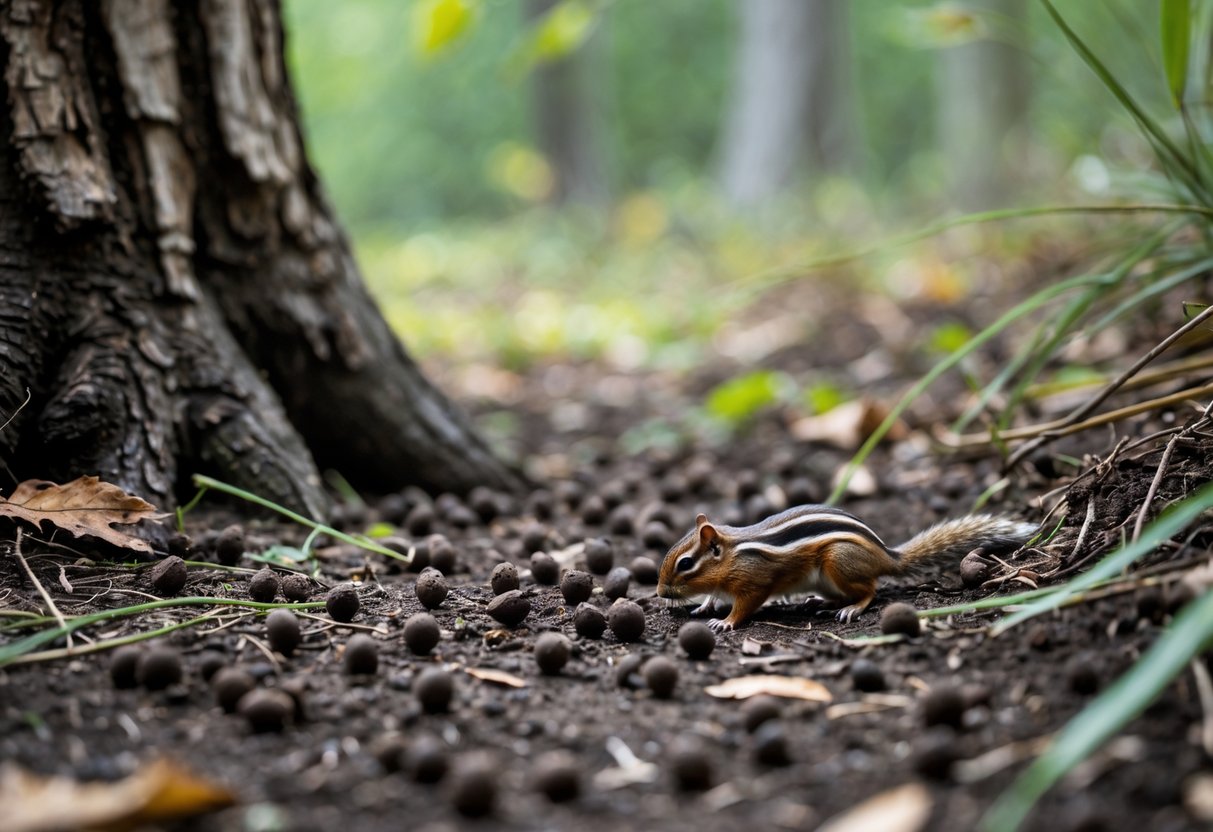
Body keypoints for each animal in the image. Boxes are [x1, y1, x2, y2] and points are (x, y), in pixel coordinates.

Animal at [656, 505, 1037, 632]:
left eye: (685, 564)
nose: (659, 593)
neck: (733, 552)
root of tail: (887, 556)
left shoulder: (754, 581)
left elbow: (746, 604)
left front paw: (725, 621)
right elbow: (713, 596)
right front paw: (704, 606)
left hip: (838, 561)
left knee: (871, 590)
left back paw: (851, 608)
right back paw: (821, 603)